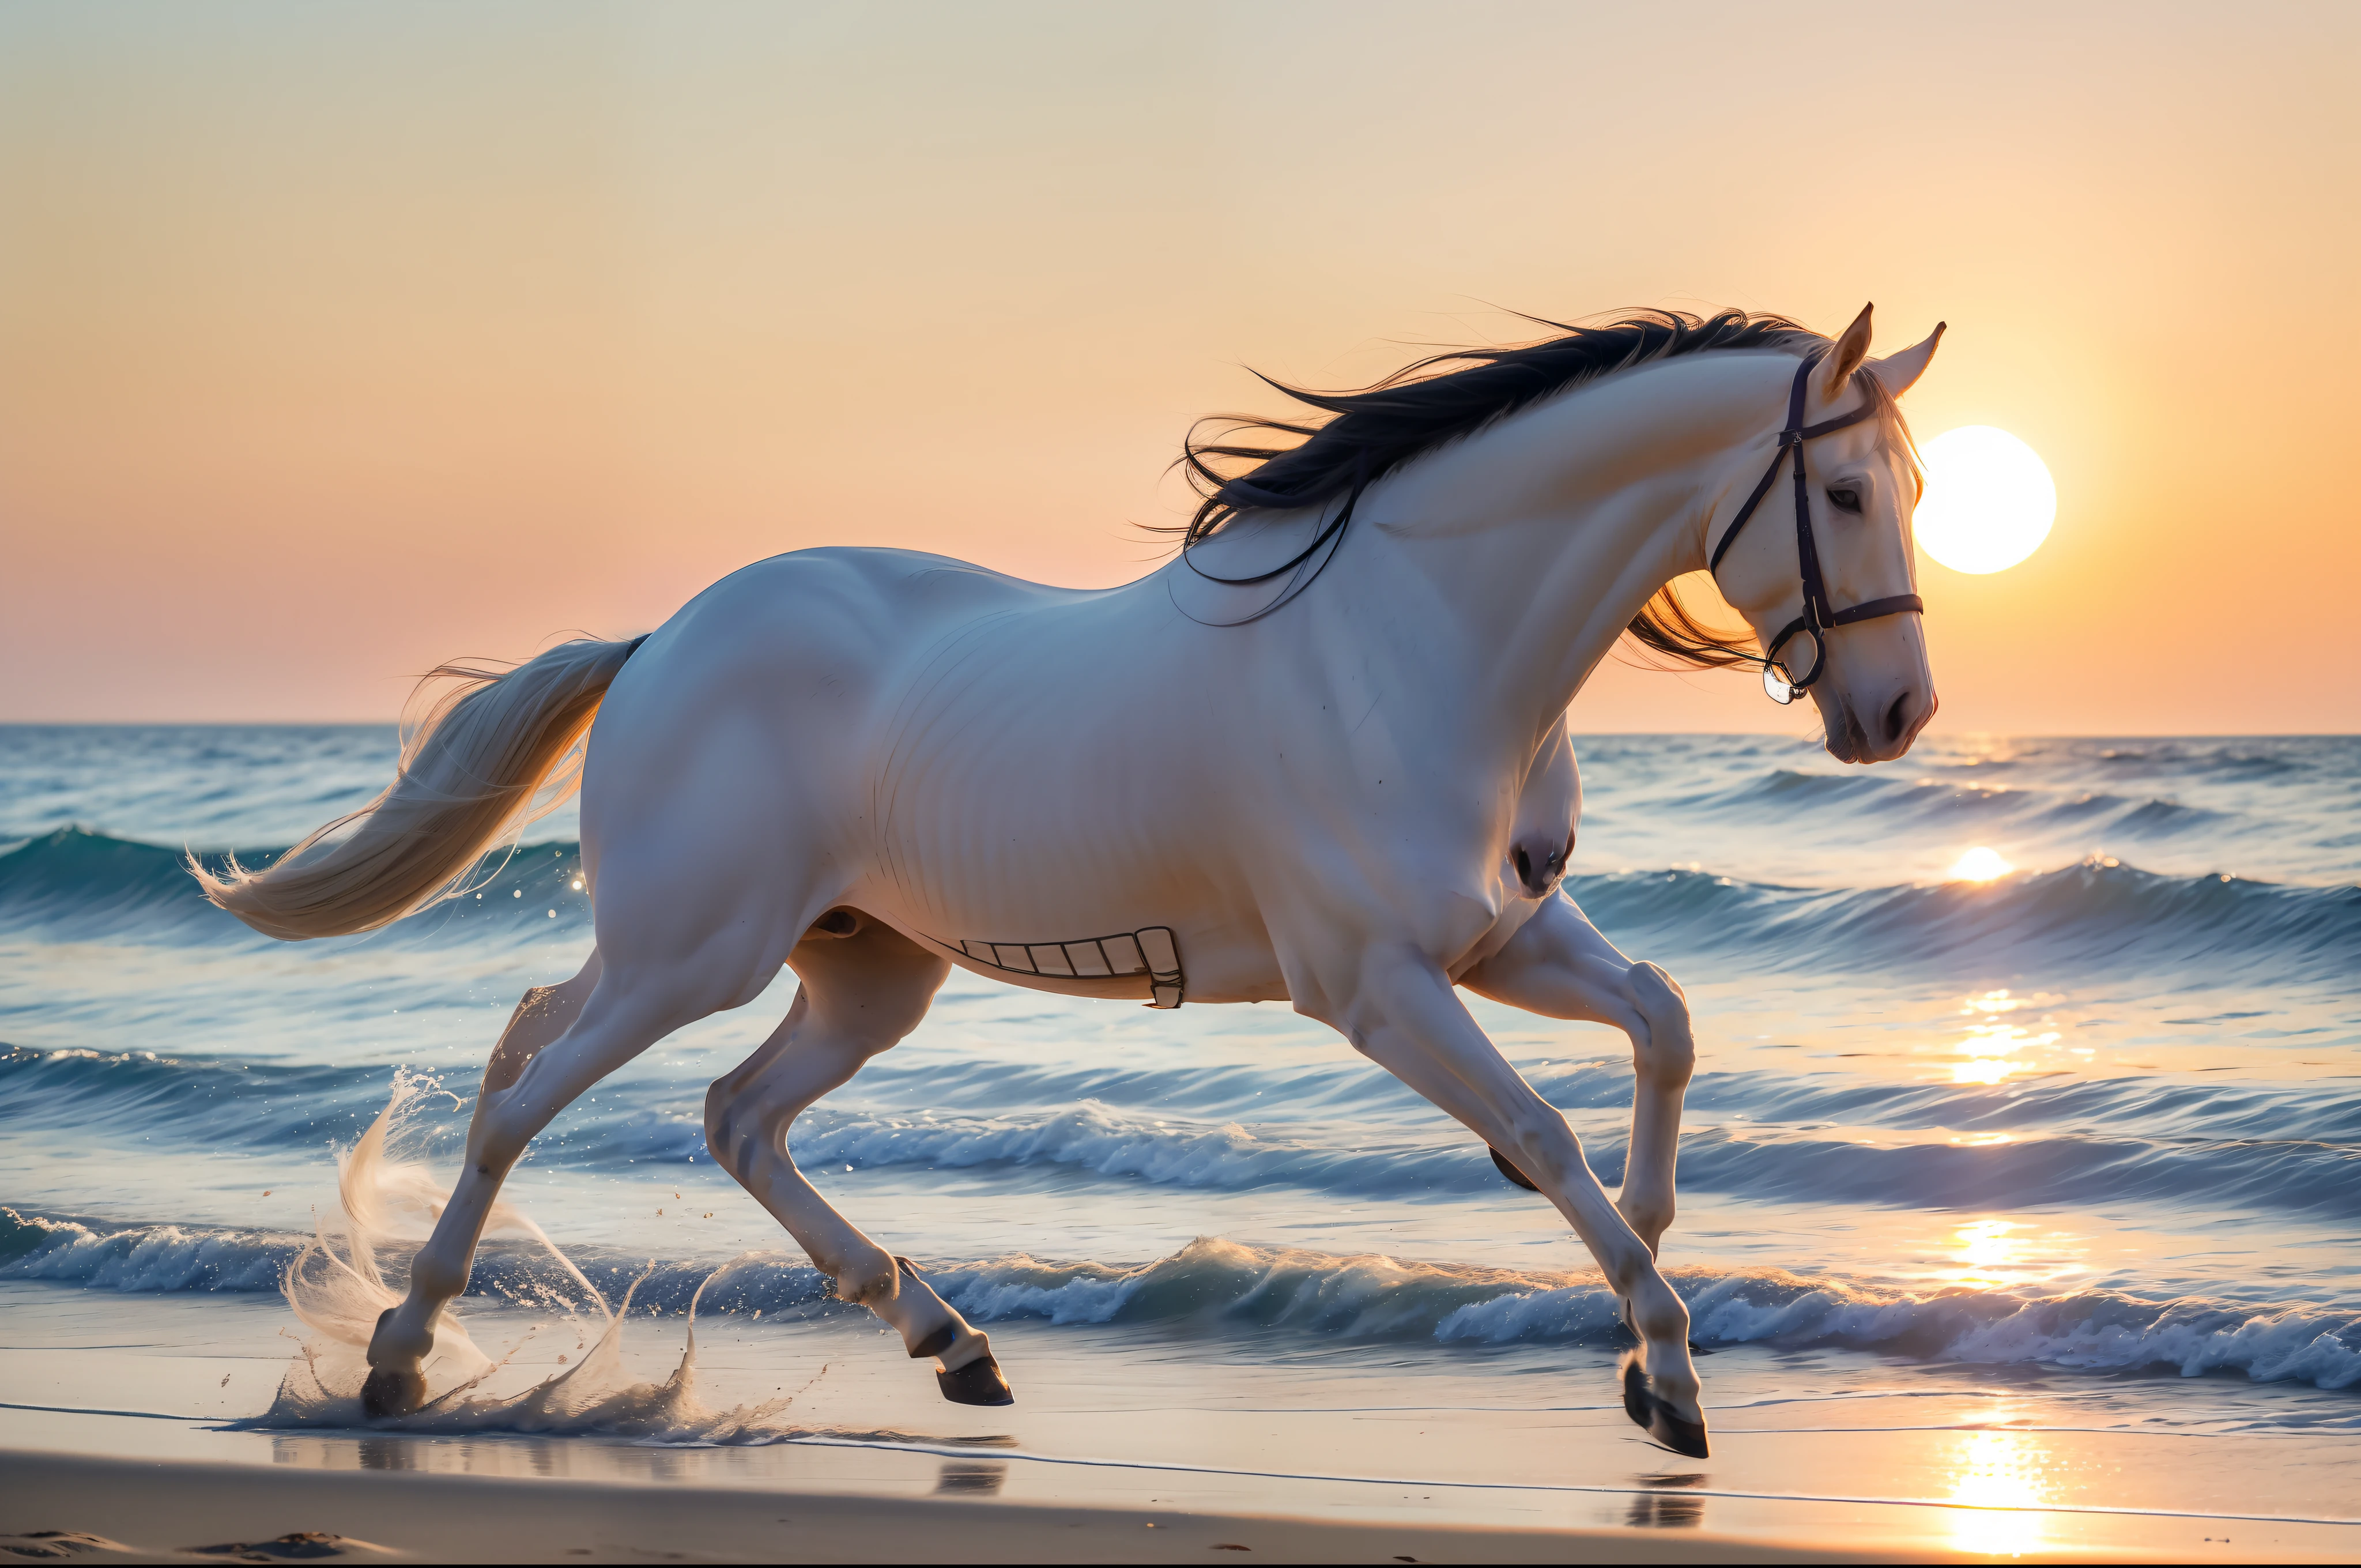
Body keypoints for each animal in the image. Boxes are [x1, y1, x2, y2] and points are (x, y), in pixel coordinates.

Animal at [198, 302, 1936, 1454]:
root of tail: (658, 641)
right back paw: (399, 1357)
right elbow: (1540, 1131)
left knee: (735, 1116)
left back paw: (950, 1341)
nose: (1898, 714)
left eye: (1914, 493)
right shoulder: (1375, 986)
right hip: (689, 953)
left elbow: (1664, 1022)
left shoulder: (1506, 937)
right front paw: (1671, 1372)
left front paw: (1644, 1316)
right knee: (519, 1084)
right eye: (1848, 493)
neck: (1423, 642)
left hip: (865, 971)